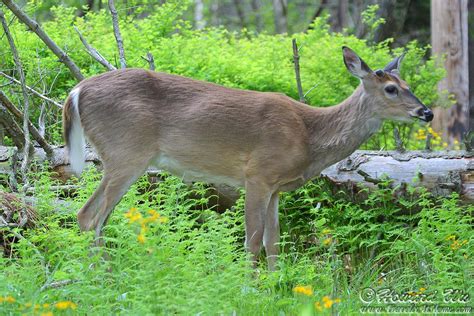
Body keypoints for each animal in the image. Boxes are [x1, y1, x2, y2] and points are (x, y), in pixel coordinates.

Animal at [64, 46, 434, 270]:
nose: (427, 113)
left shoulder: (276, 188)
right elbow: (252, 240)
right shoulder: (257, 174)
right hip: (126, 153)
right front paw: (250, 287)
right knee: (90, 216)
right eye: (391, 89)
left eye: (408, 83)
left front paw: (276, 284)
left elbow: (273, 240)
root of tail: (76, 91)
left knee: (91, 218)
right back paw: (103, 276)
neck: (309, 134)